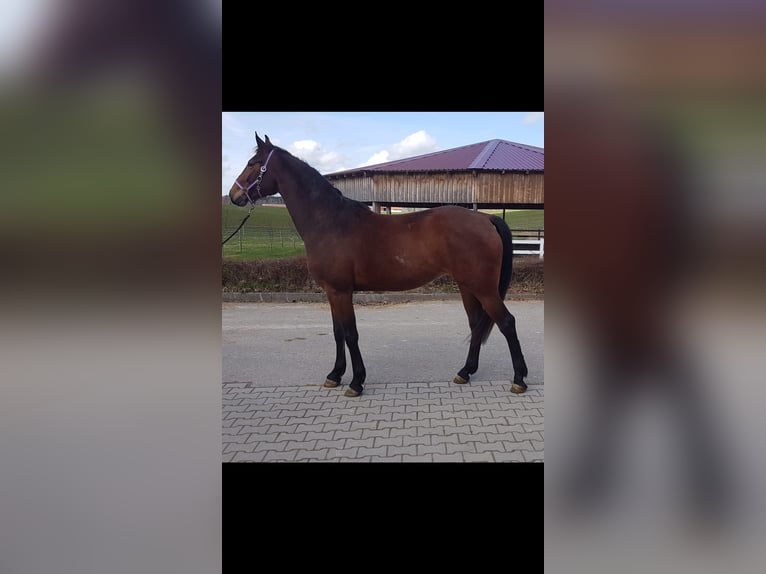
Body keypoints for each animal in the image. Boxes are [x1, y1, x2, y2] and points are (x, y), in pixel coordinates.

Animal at [228, 133, 528, 398]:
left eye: (254, 163)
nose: (233, 196)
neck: (330, 222)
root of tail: (486, 219)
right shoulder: (331, 291)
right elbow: (338, 333)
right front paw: (335, 375)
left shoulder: (341, 291)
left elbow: (351, 334)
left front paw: (356, 382)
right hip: (468, 287)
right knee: (476, 324)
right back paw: (465, 372)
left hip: (483, 288)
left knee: (507, 322)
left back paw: (519, 379)